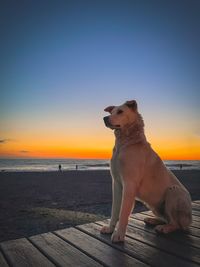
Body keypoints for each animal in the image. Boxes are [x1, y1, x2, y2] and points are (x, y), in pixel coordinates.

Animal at [101, 100, 192, 243]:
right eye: (112, 112)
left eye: (120, 112)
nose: (105, 118)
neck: (125, 143)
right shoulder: (116, 184)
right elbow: (115, 210)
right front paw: (110, 229)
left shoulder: (129, 185)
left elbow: (123, 213)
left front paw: (119, 235)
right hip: (155, 206)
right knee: (166, 218)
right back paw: (153, 220)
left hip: (174, 192)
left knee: (176, 224)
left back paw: (164, 228)